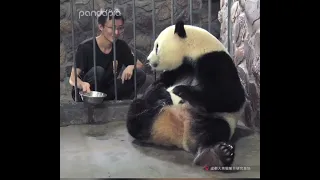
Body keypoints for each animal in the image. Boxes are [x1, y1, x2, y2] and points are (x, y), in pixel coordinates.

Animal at [126, 21, 246, 169]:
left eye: (157, 47)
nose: (148, 60)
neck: (195, 49)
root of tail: (177, 135)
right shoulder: (178, 69)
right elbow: (158, 84)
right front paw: (164, 92)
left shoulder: (216, 60)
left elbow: (231, 96)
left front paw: (180, 90)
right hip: (150, 112)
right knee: (136, 111)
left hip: (215, 118)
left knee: (215, 129)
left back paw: (215, 155)